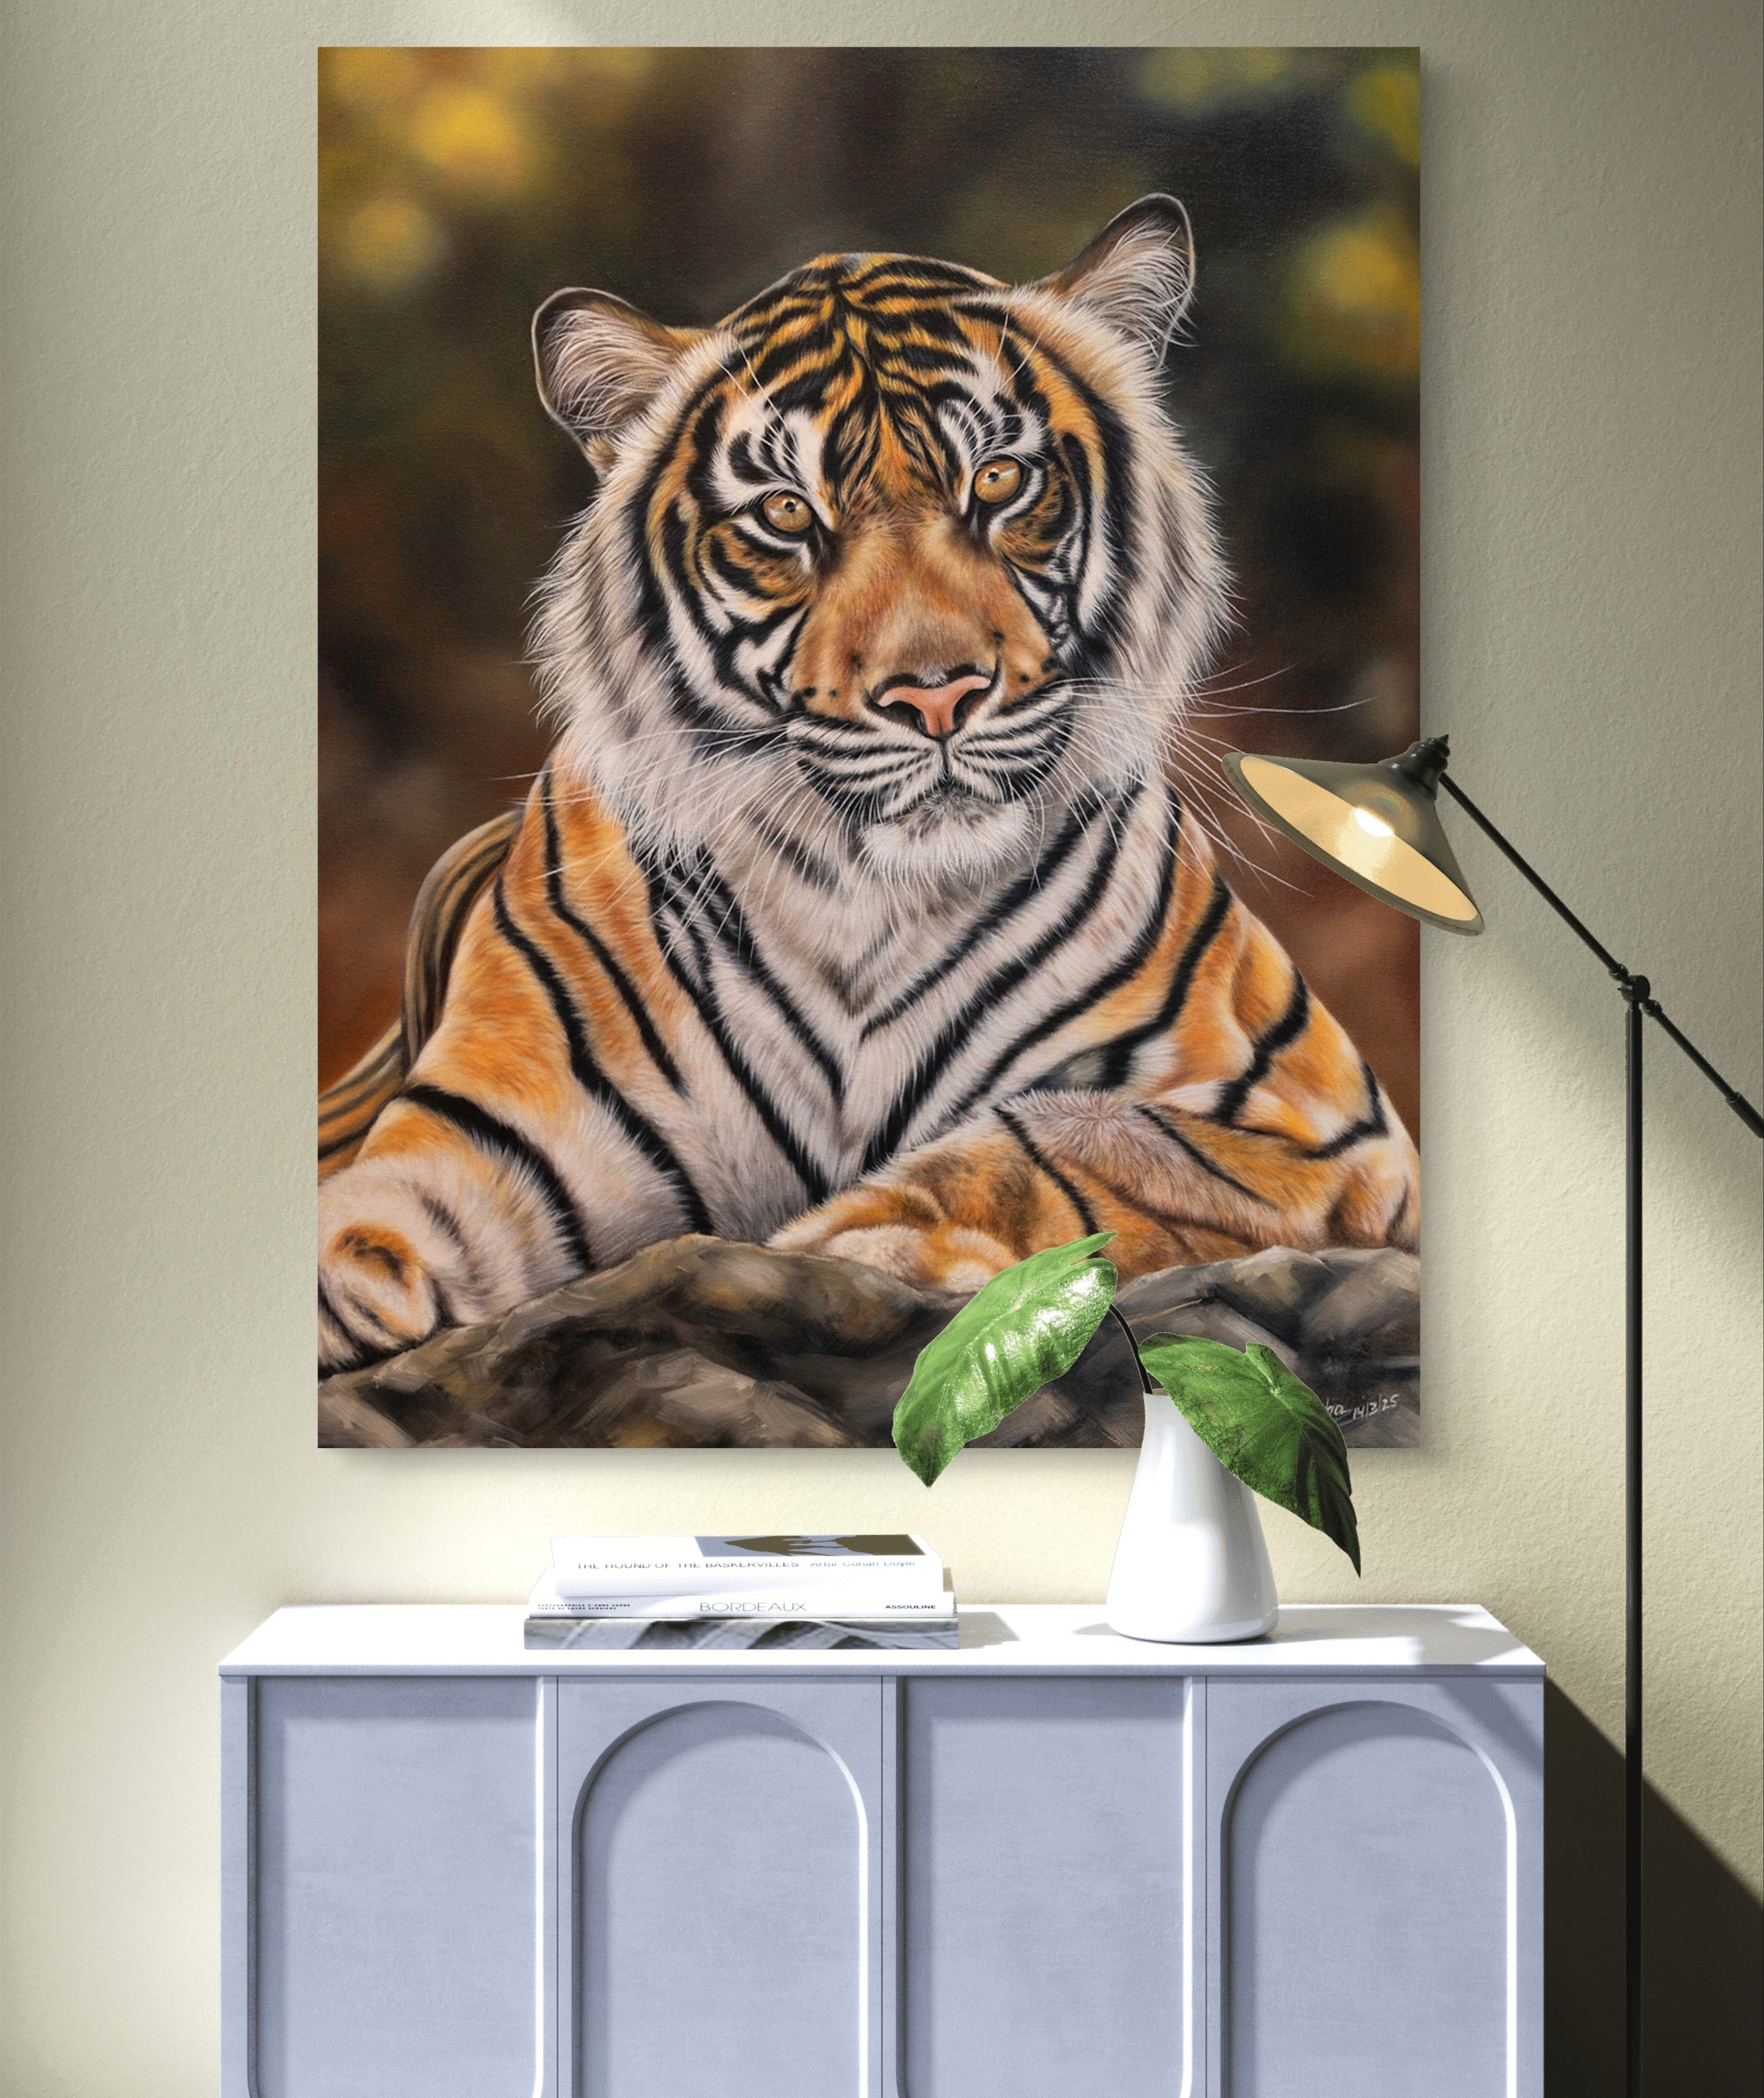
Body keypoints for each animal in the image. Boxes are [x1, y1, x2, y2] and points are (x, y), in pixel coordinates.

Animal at [317, 194, 1419, 1377]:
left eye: (999, 482)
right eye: (786, 515)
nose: (937, 696)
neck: (867, 903)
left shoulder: (1318, 1121)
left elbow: (1066, 1138)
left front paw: (866, 1242)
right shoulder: (484, 1130)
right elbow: (369, 1220)